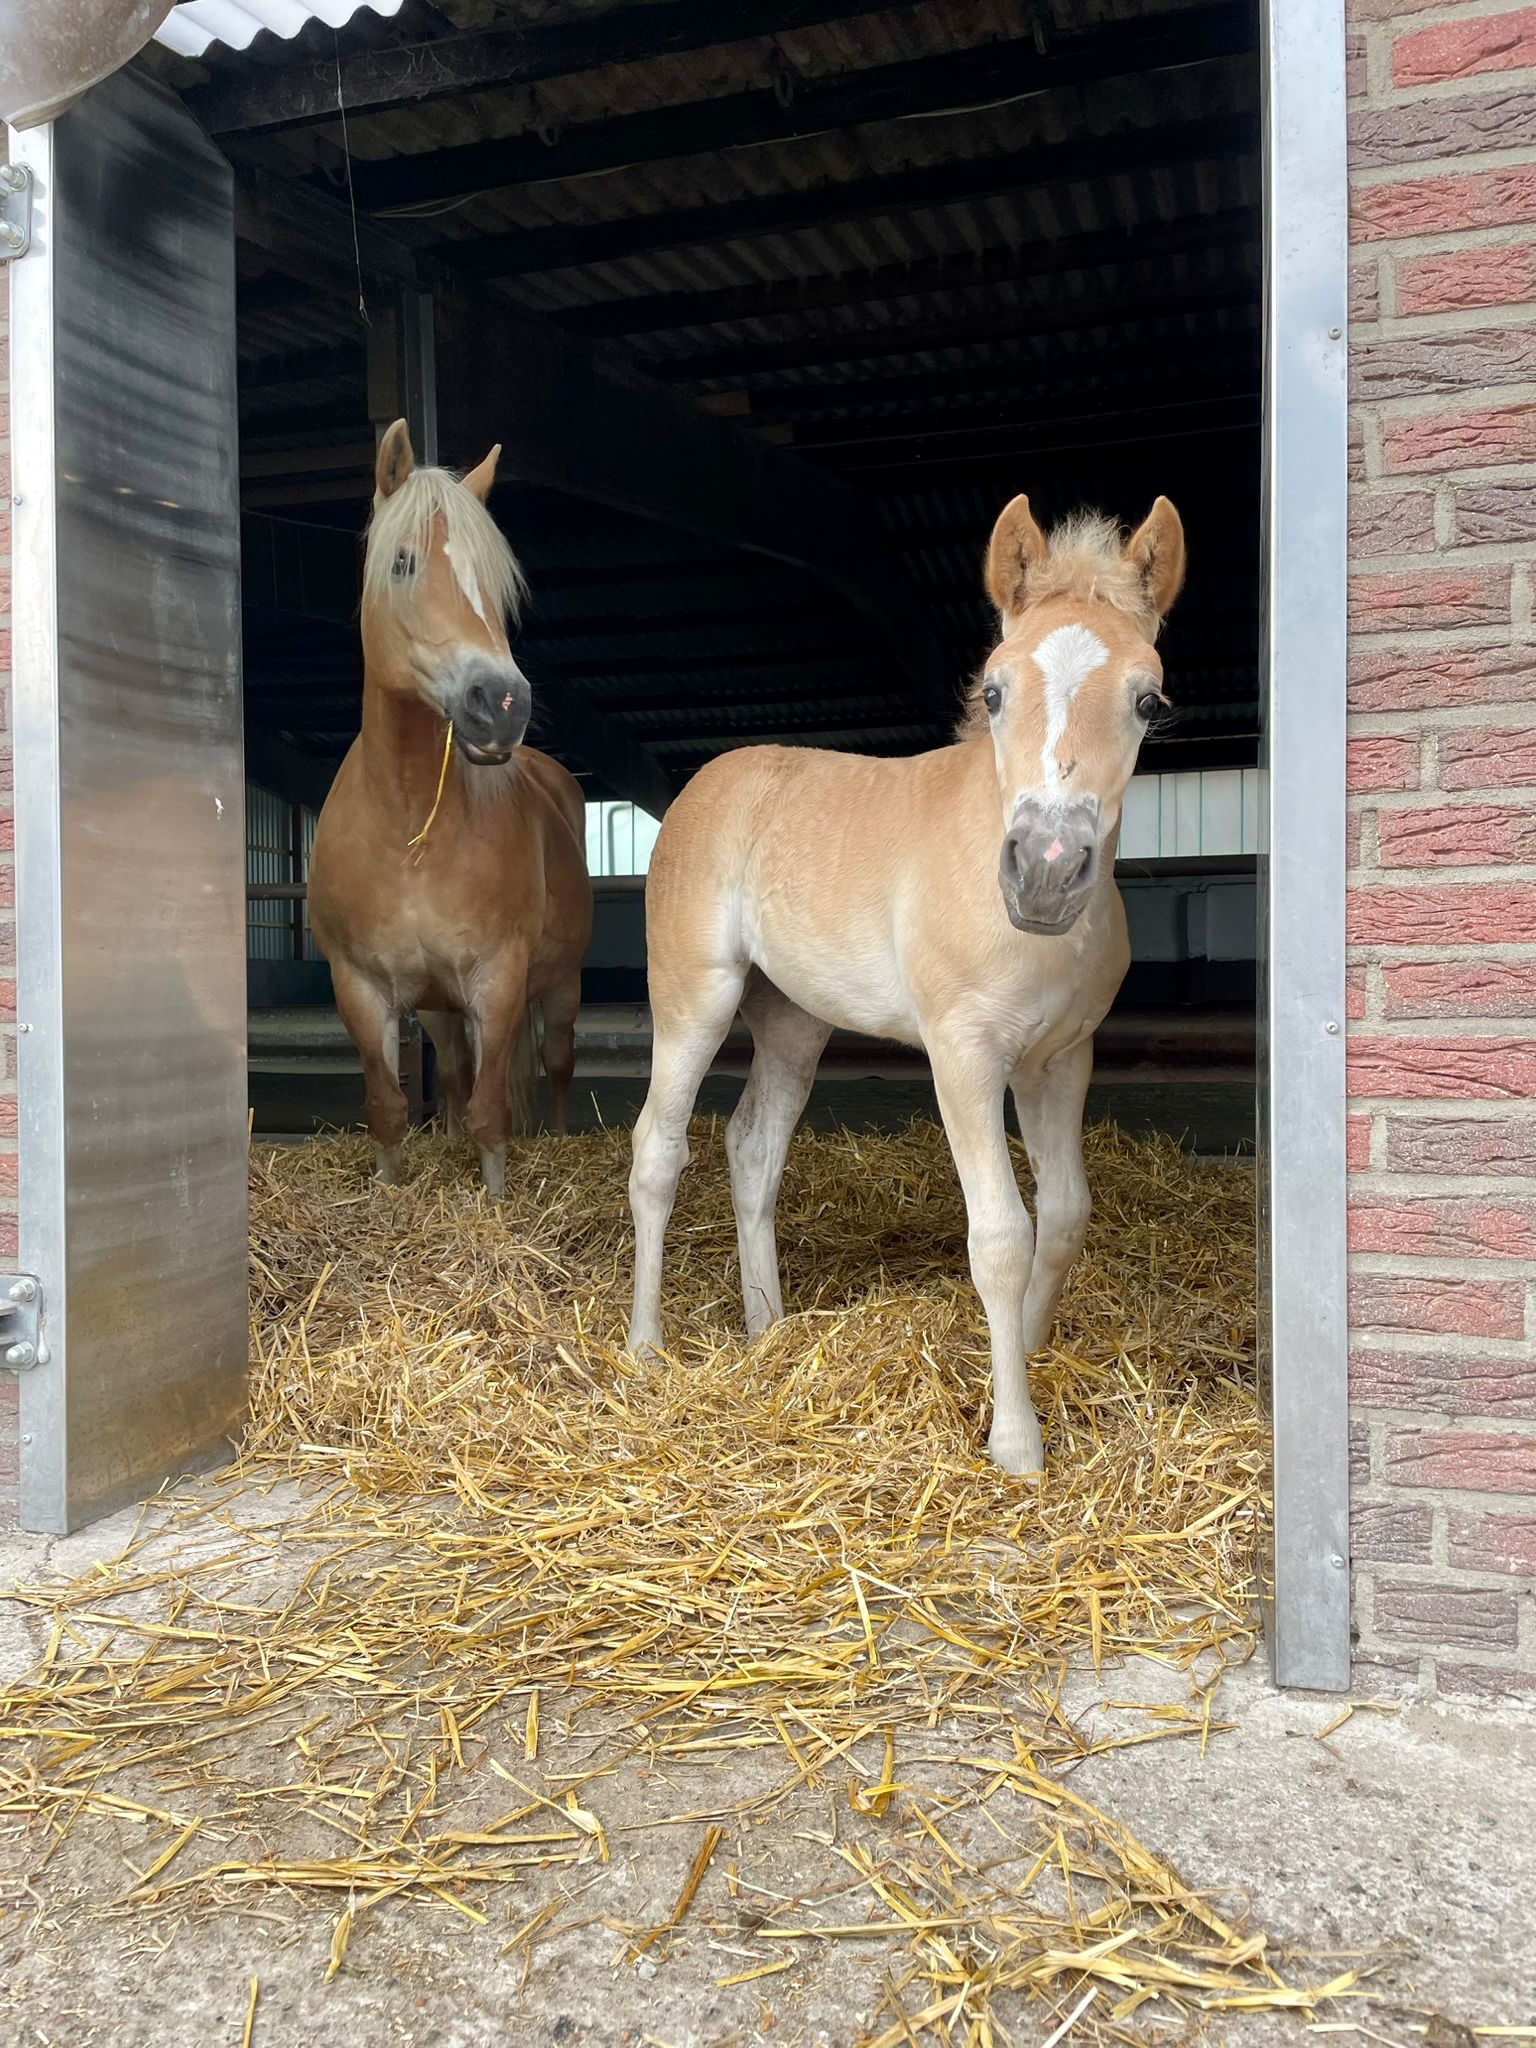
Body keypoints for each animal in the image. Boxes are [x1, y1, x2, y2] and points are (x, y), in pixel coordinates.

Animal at [308, 420, 593, 1195]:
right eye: (403, 563)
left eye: (496, 583)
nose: (501, 705)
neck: (411, 828)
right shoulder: (362, 987)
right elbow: (389, 1107)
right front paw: (390, 1188)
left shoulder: (498, 982)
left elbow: (494, 1112)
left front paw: (494, 1198)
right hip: (438, 1008)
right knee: (461, 1074)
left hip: (559, 987)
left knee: (557, 1064)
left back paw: (561, 1137)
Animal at [625, 492, 1185, 1476]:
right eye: (993, 690)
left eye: (1148, 701)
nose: (1045, 873)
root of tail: (704, 784)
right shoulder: (964, 1054)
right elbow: (1001, 1236)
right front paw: (1015, 1441)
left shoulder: (1060, 1059)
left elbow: (1065, 1214)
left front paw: (1029, 1350)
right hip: (695, 996)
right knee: (658, 1147)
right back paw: (645, 1348)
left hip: (794, 1020)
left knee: (752, 1148)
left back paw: (768, 1329)